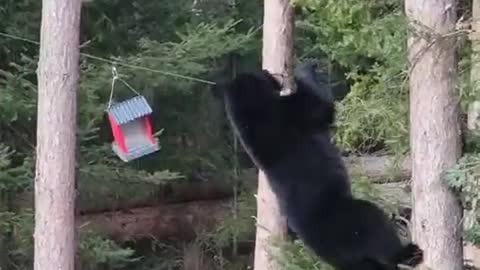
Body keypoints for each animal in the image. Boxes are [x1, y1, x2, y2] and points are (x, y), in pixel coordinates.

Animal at [218, 61, 424, 270]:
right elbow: (319, 107)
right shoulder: (287, 115)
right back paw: (408, 253)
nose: (268, 71)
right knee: (374, 224)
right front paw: (306, 68)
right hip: (346, 221)